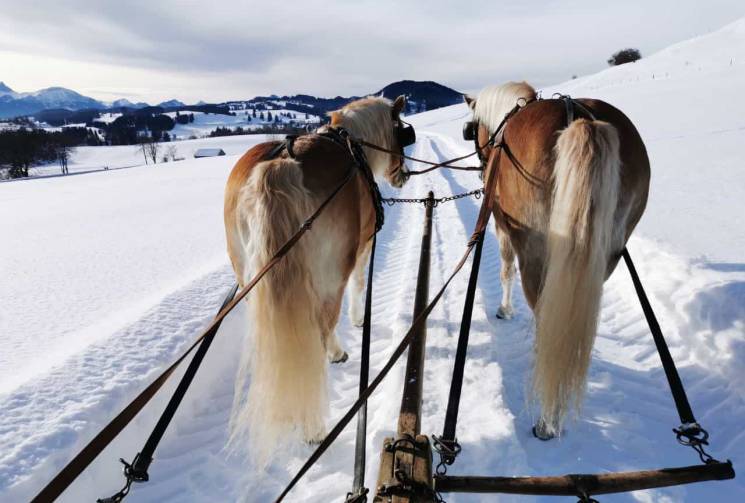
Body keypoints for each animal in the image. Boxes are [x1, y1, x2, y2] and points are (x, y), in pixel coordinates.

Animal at [224, 95, 410, 456]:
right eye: (401, 132)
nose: (404, 175)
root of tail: (279, 166)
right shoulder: (362, 247)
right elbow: (359, 284)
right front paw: (358, 322)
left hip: (249, 278)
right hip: (329, 275)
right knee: (322, 329)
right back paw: (317, 421)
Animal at [464, 81, 644, 438]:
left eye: (473, 128)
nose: (481, 162)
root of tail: (581, 120)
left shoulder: (504, 226)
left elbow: (505, 269)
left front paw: (505, 310)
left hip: (535, 251)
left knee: (546, 315)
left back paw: (548, 418)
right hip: (606, 254)